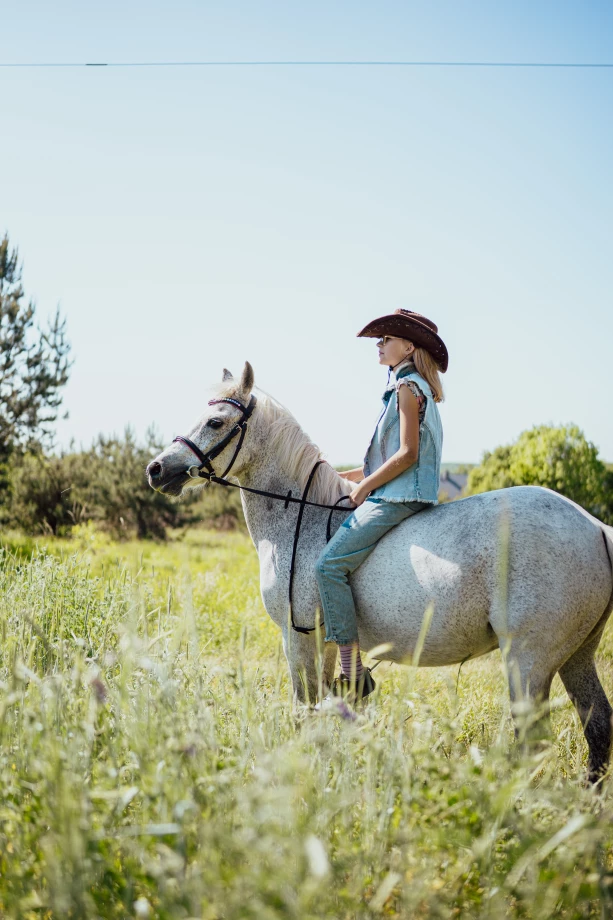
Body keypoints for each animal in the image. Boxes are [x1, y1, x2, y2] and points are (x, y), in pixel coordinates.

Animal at [147, 362, 612, 780]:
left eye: (215, 421)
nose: (157, 469)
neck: (300, 514)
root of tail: (595, 527)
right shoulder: (326, 641)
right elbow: (324, 708)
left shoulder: (299, 638)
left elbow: (305, 710)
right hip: (575, 656)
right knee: (598, 727)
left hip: (527, 660)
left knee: (535, 742)